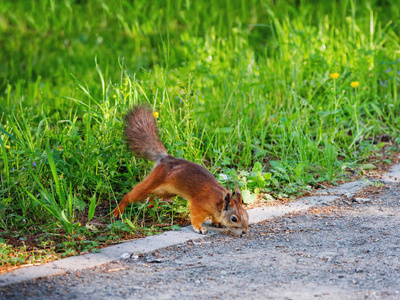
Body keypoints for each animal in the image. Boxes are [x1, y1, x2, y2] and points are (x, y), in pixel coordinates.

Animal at [112, 104, 248, 236]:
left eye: (247, 215)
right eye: (234, 218)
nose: (244, 232)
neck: (217, 201)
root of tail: (165, 159)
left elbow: (215, 217)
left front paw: (217, 222)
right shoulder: (198, 204)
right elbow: (196, 216)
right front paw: (199, 228)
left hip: (165, 192)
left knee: (153, 195)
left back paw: (150, 205)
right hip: (155, 180)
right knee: (133, 194)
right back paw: (118, 210)